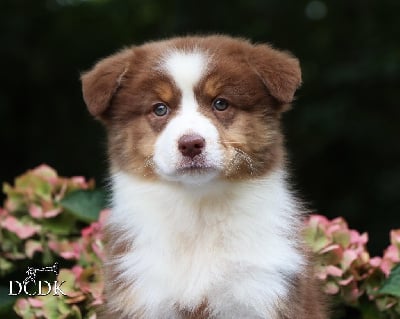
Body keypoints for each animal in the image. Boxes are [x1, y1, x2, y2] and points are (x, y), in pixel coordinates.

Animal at [80, 35, 324, 319]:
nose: (190, 144)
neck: (198, 210)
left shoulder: (262, 289)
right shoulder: (144, 291)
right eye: (160, 109)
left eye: (221, 103)